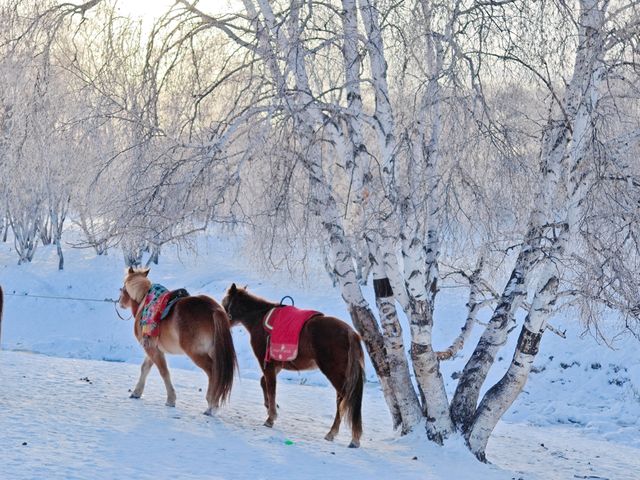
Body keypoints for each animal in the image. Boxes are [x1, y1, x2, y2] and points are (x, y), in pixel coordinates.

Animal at [119, 268, 236, 414]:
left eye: (123, 288)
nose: (120, 302)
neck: (145, 303)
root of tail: (214, 309)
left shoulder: (151, 349)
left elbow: (164, 372)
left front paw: (171, 399)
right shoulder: (154, 349)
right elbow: (145, 368)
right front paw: (136, 392)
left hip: (197, 354)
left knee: (213, 372)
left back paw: (211, 404)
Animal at [221, 284, 364, 448]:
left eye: (225, 304)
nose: (223, 319)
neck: (259, 318)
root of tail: (351, 333)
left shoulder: (267, 363)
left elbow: (271, 387)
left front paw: (271, 417)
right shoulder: (276, 364)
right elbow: (264, 383)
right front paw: (270, 407)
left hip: (334, 373)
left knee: (343, 400)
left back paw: (336, 434)